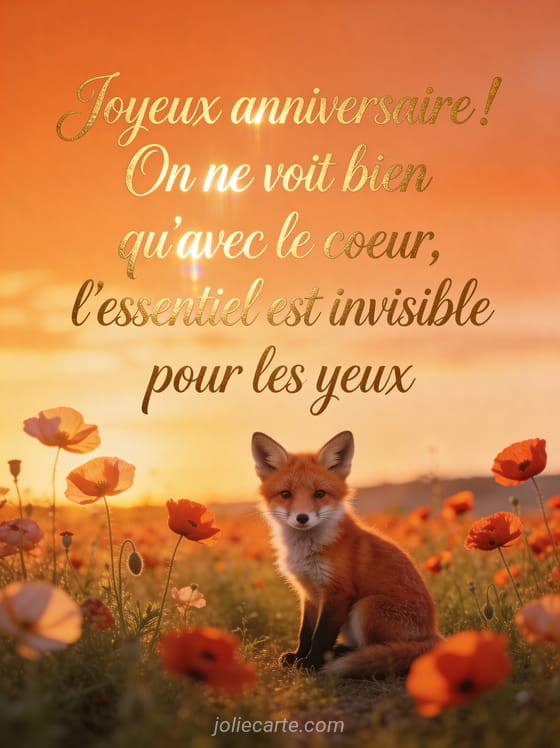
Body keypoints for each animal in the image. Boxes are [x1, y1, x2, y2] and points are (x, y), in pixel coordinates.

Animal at [252, 430, 443, 678]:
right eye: (285, 494)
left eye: (319, 493)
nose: (302, 517)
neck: (307, 551)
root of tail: (434, 636)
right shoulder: (309, 593)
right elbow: (305, 632)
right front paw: (298, 656)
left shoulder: (338, 592)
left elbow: (321, 636)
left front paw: (310, 663)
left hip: (366, 606)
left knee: (378, 649)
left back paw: (343, 655)